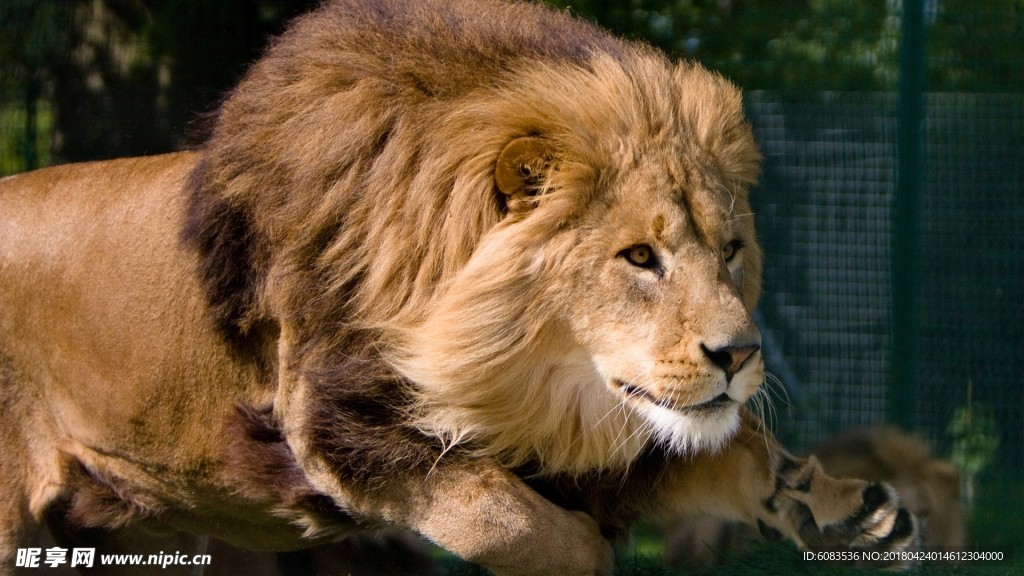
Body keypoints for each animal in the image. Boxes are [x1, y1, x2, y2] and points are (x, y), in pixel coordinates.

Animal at [0, 1, 917, 573]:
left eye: (730, 251)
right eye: (639, 258)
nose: (741, 354)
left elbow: (736, 448)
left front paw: (850, 509)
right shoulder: (332, 420)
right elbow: (505, 516)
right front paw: (591, 551)